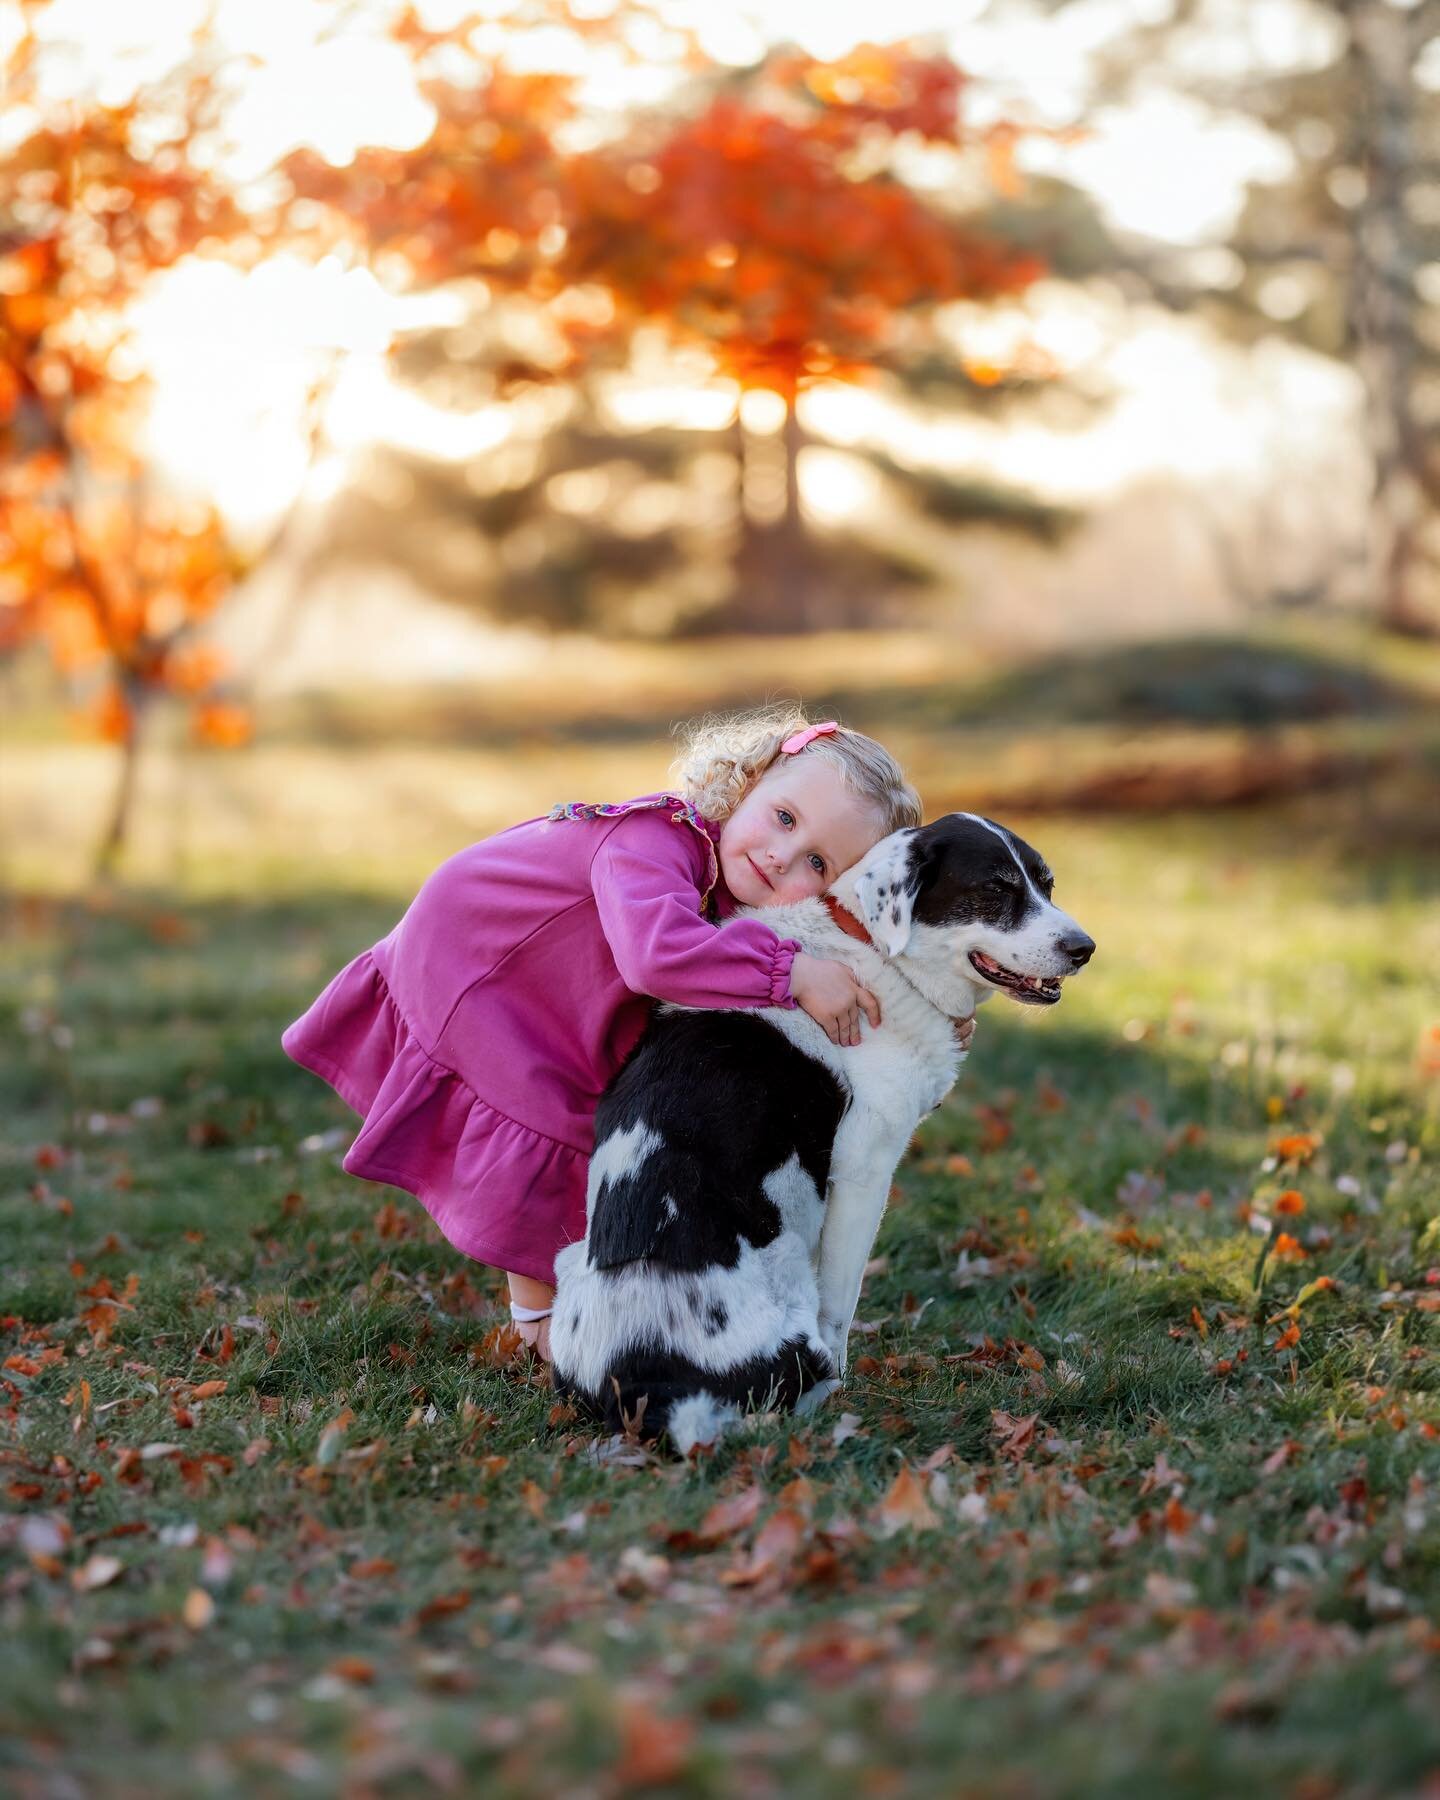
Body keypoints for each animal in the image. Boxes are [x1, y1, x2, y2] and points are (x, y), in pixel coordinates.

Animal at [547, 813, 1094, 1447]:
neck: (875, 950)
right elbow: (843, 1302)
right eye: (996, 889)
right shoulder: (864, 1173)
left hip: (569, 1260)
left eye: (1046, 885)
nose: (1085, 949)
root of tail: (643, 1385)